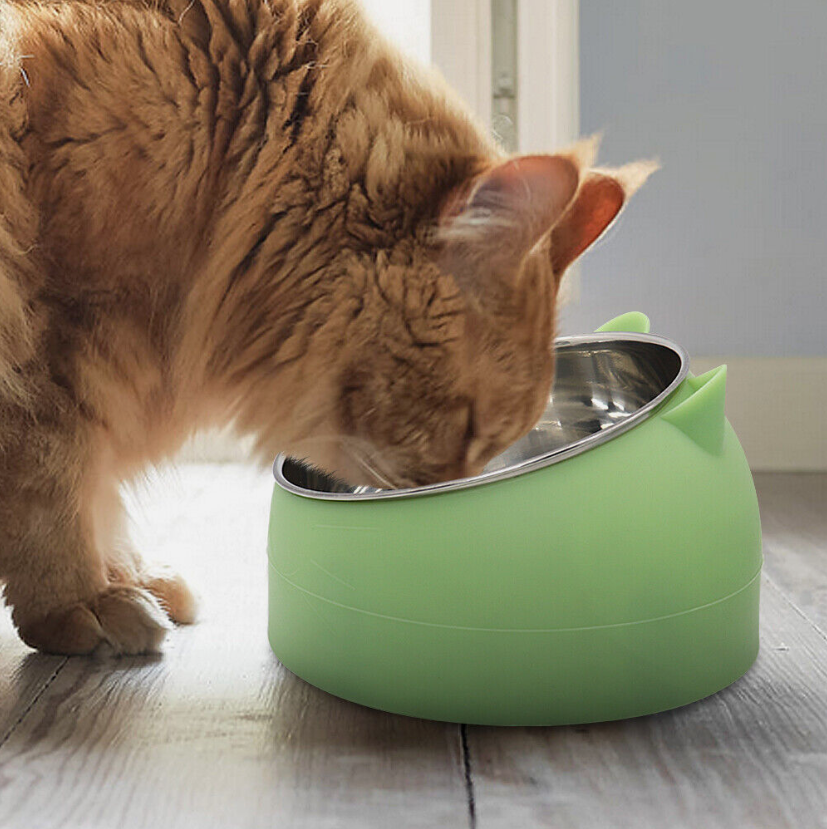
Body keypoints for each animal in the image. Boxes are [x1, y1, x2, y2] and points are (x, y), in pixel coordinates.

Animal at [0, 0, 656, 656]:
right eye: (470, 427)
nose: (444, 505)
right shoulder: (55, 347)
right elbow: (60, 483)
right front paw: (80, 599)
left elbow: (101, 494)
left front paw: (129, 575)